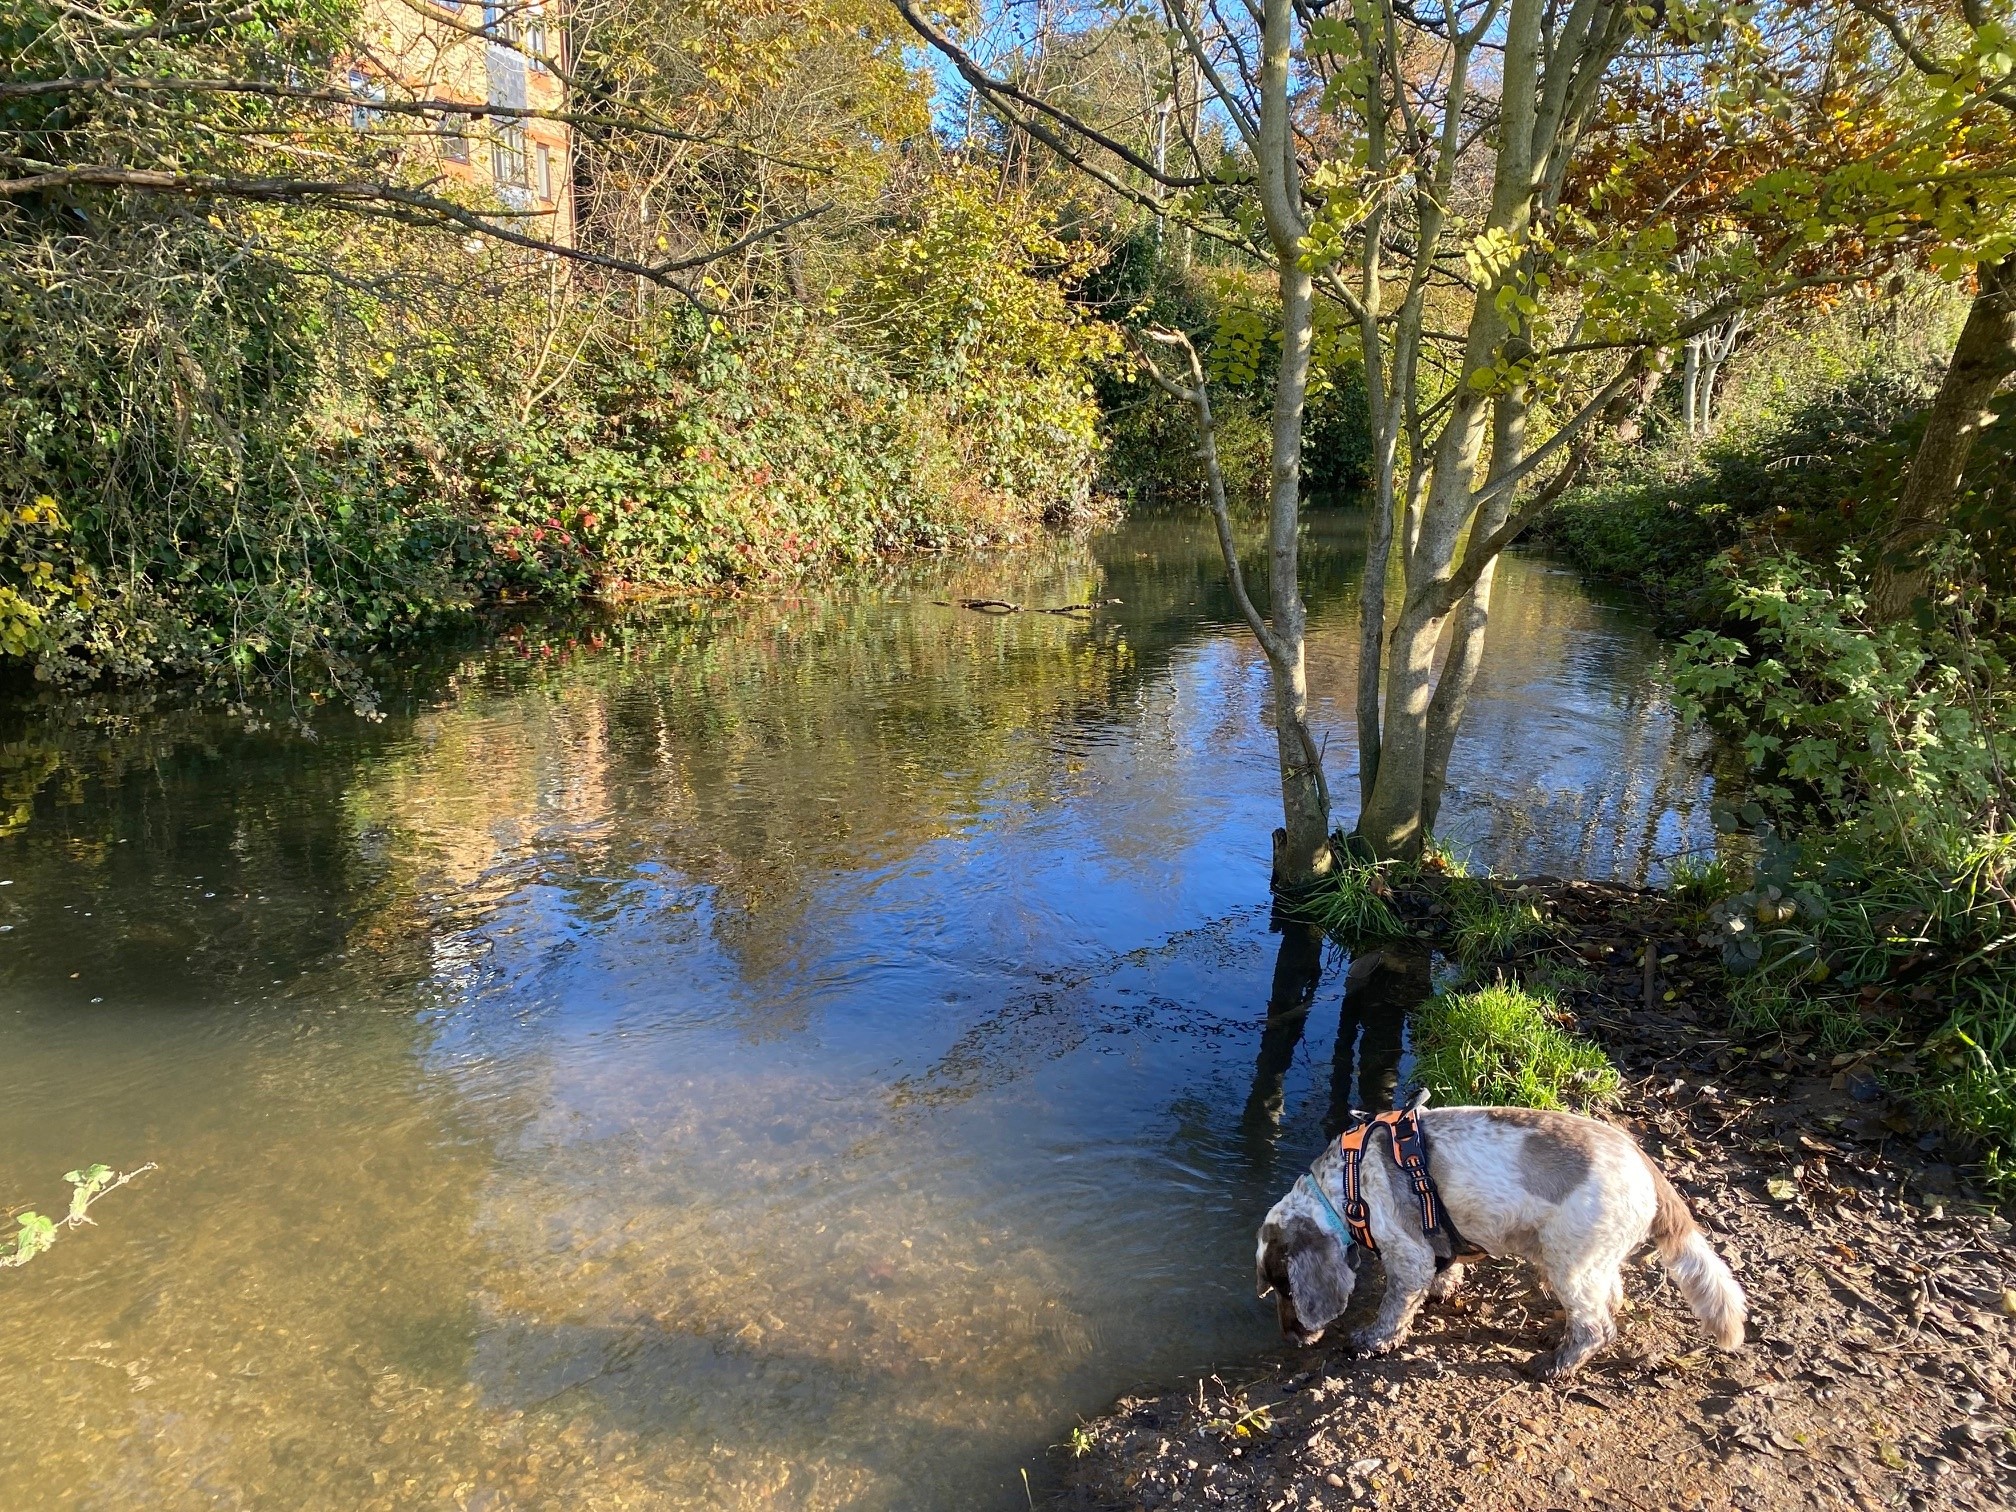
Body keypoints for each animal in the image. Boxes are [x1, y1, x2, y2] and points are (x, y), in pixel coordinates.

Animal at [1257, 1104, 1749, 1378]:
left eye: (1285, 1288)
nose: (1289, 1339)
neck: (1348, 1181)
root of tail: (1649, 1169)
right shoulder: (1437, 1240)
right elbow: (1445, 1268)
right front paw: (1443, 1288)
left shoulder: (1407, 1257)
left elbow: (1393, 1311)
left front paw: (1372, 1341)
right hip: (1588, 1262)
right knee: (1611, 1298)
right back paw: (1555, 1330)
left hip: (1569, 1262)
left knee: (1596, 1328)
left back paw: (1554, 1366)